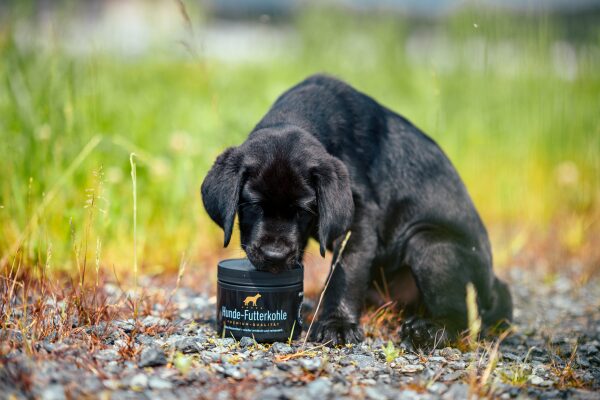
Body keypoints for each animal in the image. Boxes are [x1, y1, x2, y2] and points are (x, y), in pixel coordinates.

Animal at [202, 75, 510, 346]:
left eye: (303, 210)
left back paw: (429, 330)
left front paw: (337, 324)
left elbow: (344, 272)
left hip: (430, 244)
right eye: (253, 206)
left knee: (465, 316)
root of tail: (495, 289)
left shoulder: (358, 219)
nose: (274, 256)